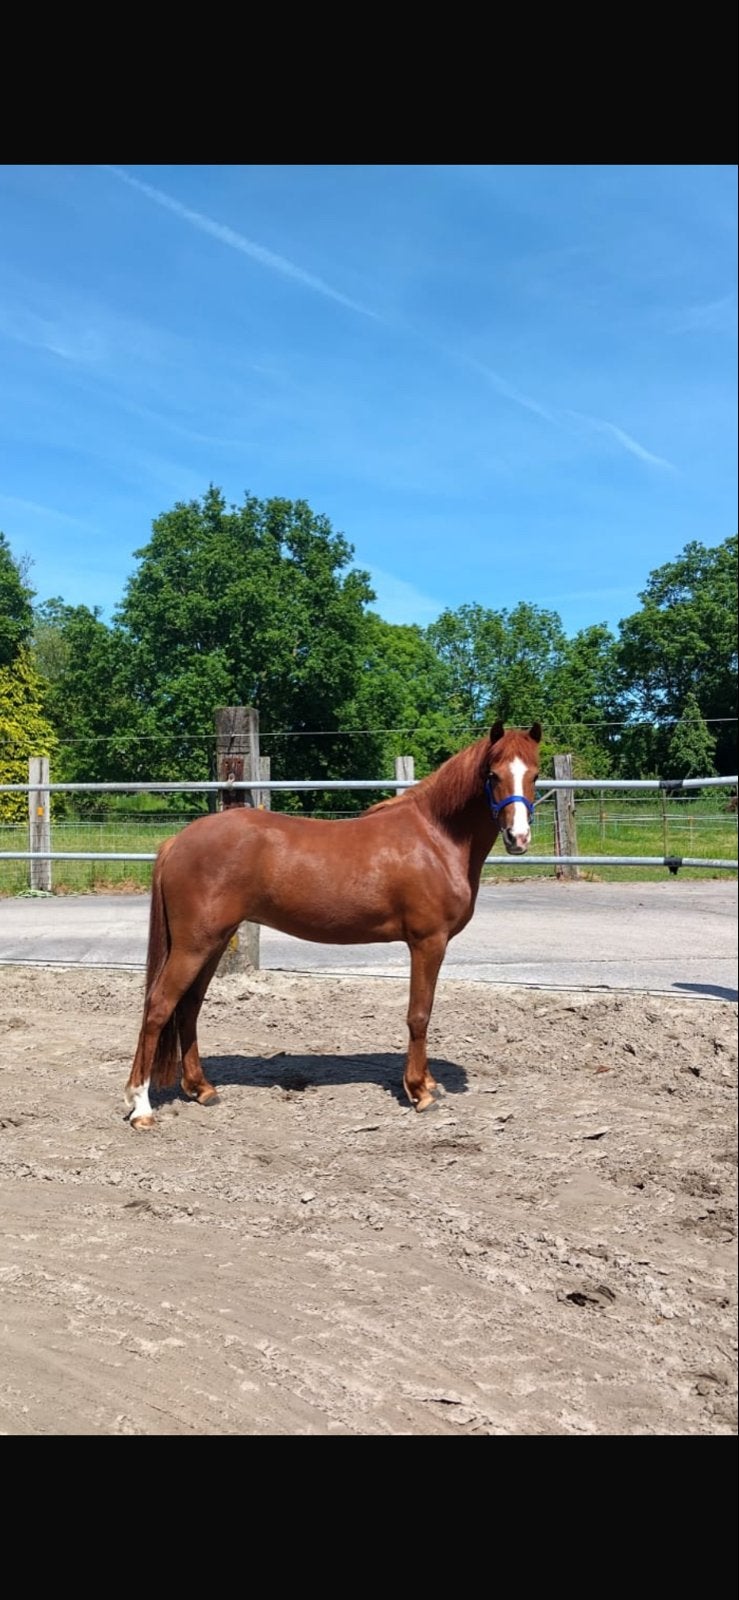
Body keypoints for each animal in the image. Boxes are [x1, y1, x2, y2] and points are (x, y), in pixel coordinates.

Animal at [124, 720, 541, 1127]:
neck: (435, 839)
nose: (518, 837)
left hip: (213, 941)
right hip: (194, 945)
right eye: (492, 774)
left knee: (189, 1007)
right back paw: (141, 1106)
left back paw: (201, 1089)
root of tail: (177, 842)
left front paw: (428, 1083)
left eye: (535, 775)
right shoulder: (428, 942)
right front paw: (419, 1091)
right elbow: (419, 1014)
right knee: (159, 1006)